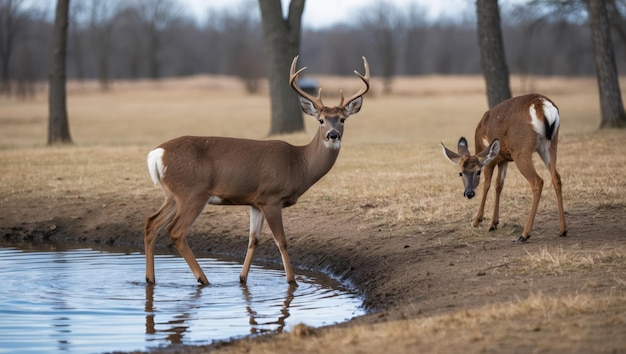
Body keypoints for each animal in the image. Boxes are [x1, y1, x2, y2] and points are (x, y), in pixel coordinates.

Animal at [144, 56, 368, 286]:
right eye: (321, 120)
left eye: (342, 119)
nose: (333, 135)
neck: (298, 164)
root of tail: (157, 154)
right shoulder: (272, 198)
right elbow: (282, 241)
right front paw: (292, 281)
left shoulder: (255, 202)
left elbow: (254, 240)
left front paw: (242, 278)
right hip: (193, 193)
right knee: (175, 231)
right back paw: (202, 278)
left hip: (173, 194)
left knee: (151, 223)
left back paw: (150, 279)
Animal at [438, 93, 564, 243]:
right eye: (461, 173)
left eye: (477, 172)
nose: (468, 193)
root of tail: (543, 106)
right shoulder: (503, 160)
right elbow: (499, 185)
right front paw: (493, 223)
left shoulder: (490, 159)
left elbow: (487, 184)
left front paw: (476, 220)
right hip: (550, 144)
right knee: (556, 177)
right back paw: (563, 230)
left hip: (521, 149)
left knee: (537, 181)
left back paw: (524, 234)